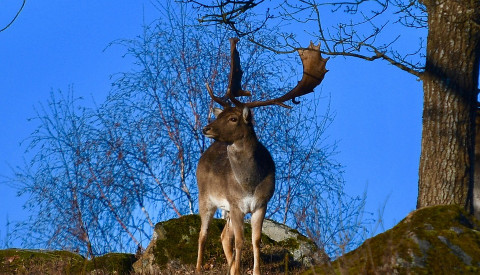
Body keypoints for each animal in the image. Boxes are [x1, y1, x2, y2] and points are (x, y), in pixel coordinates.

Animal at [197, 37, 328, 275]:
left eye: (232, 118)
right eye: (219, 115)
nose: (206, 128)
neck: (249, 183)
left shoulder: (261, 203)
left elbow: (255, 240)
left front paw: (251, 271)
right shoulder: (235, 203)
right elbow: (240, 242)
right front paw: (237, 270)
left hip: (225, 208)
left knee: (223, 236)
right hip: (205, 196)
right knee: (203, 235)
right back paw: (199, 268)